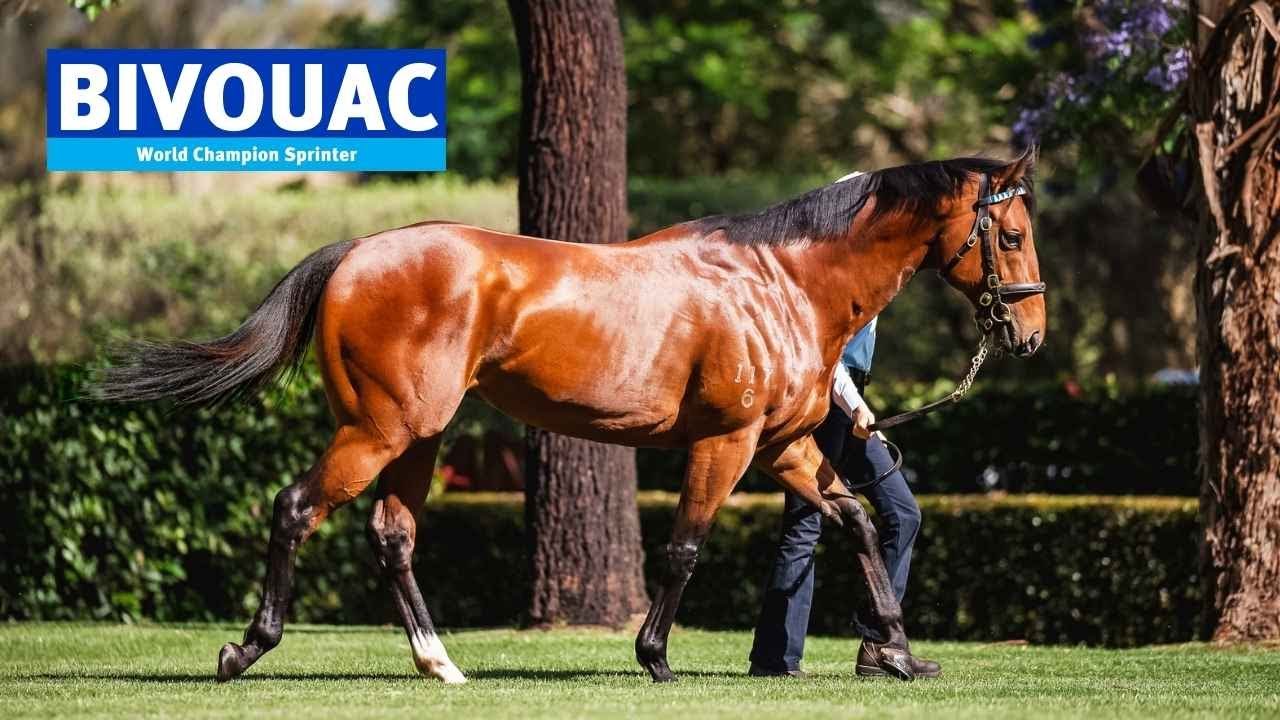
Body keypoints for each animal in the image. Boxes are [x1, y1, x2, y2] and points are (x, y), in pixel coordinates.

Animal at [95, 150, 1046, 684]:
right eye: (1012, 234)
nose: (1030, 333)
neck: (779, 282)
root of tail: (359, 252)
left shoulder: (783, 447)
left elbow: (856, 522)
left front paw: (896, 651)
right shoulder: (726, 443)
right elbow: (685, 548)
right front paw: (654, 657)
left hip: (418, 437)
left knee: (393, 535)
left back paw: (440, 664)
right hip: (378, 431)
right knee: (297, 509)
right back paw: (245, 650)